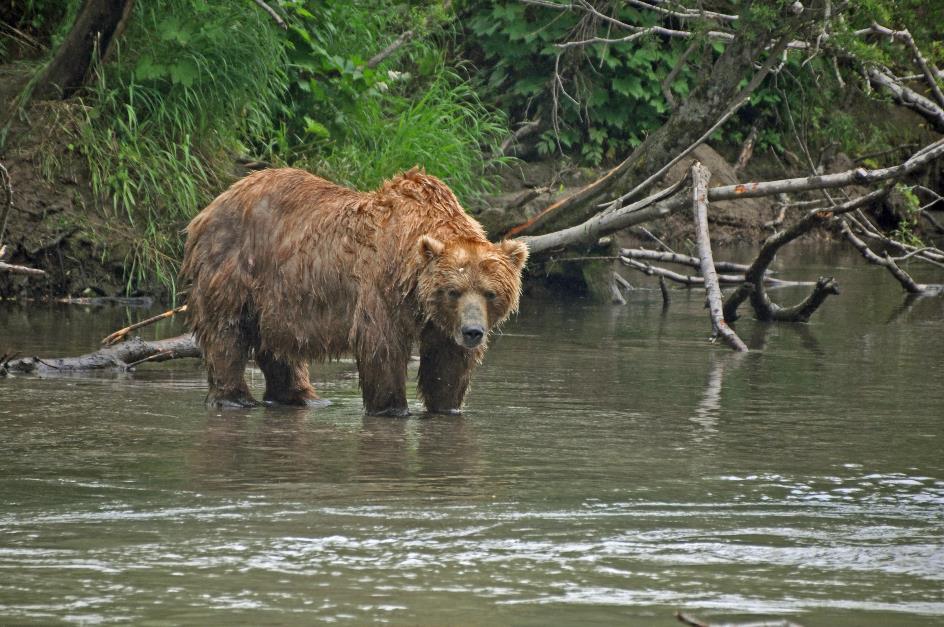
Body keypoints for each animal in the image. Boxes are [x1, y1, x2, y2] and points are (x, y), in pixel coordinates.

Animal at [181, 166, 528, 418]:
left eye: (490, 293)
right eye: (453, 291)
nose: (473, 331)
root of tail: (212, 204)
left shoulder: (441, 323)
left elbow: (447, 362)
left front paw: (447, 406)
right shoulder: (382, 285)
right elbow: (381, 347)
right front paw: (392, 408)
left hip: (281, 296)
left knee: (278, 344)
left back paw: (301, 397)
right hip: (234, 265)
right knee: (227, 333)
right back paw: (236, 398)